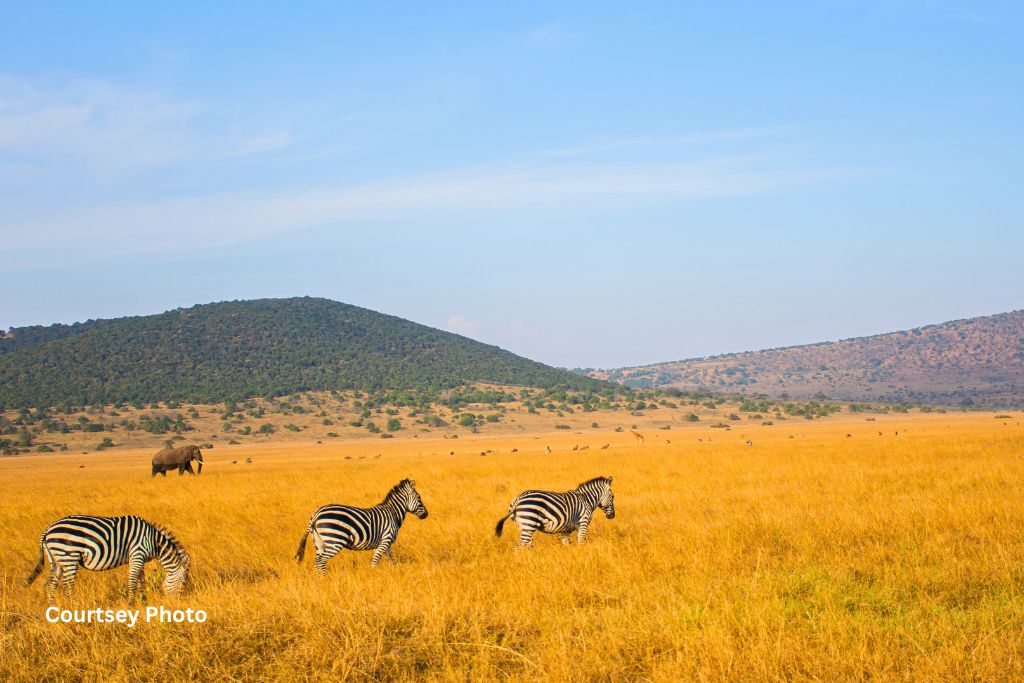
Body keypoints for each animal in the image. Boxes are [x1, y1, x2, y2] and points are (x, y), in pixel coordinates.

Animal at [24, 516, 190, 602]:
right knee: (67, 586)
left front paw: (144, 601)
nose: (179, 603)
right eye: (183, 583)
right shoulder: (137, 554)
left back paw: (54, 609)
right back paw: (74, 607)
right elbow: (132, 581)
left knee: (49, 585)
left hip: (57, 560)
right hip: (69, 556)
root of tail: (48, 530)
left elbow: (140, 581)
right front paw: (131, 604)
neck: (154, 541)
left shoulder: (139, 558)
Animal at [292, 479, 428, 573]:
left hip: (319, 542)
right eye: (419, 497)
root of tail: (316, 514)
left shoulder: (387, 543)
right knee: (321, 561)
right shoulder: (385, 539)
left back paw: (320, 580)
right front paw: (373, 575)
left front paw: (394, 572)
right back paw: (325, 580)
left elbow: (391, 560)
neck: (393, 513)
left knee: (317, 561)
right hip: (335, 540)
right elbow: (375, 561)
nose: (426, 515)